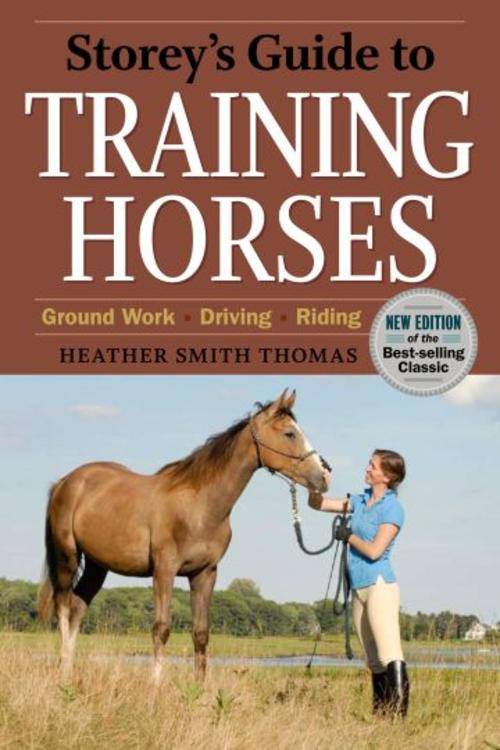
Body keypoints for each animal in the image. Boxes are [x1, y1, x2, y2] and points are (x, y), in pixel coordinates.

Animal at [38, 389, 329, 681]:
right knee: (63, 606)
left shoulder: (205, 573)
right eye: (290, 433)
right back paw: (63, 671)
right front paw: (156, 683)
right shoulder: (164, 570)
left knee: (78, 607)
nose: (324, 476)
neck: (200, 506)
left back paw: (69, 671)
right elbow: (161, 628)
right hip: (67, 556)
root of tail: (65, 481)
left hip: (98, 565)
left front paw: (199, 686)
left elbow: (201, 634)